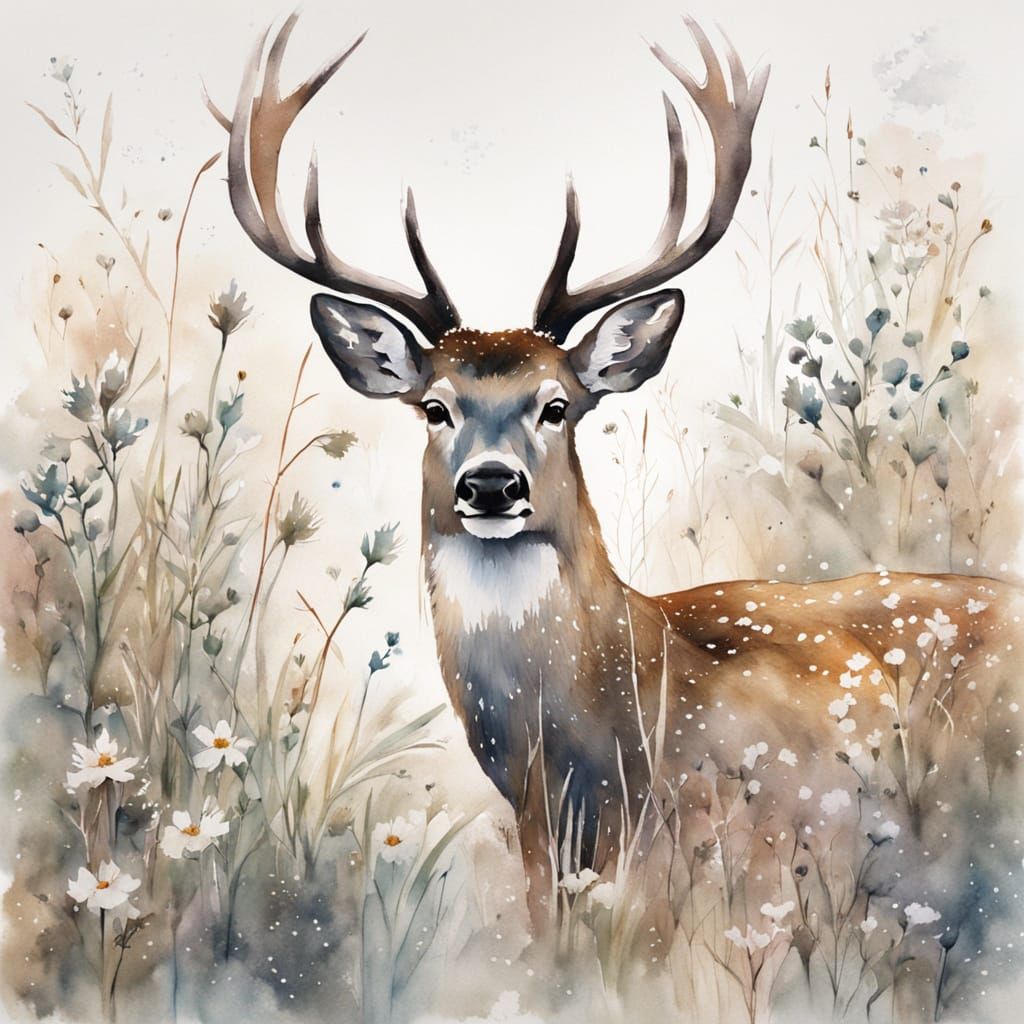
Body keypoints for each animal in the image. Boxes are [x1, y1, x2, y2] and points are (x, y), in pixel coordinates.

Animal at [211, 14, 1023, 1010]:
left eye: (558, 404)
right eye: (435, 407)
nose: (490, 485)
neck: (585, 746)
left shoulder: (728, 833)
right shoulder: (544, 849)